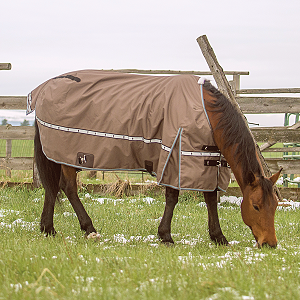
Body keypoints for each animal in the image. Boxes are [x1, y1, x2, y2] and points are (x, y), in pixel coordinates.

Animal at [30, 71, 282, 248]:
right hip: (67, 154)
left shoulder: (207, 161)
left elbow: (210, 198)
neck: (207, 113)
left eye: (276, 205)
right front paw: (166, 236)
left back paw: (48, 228)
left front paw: (218, 236)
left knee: (53, 187)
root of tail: (42, 90)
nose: (270, 244)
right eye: (256, 206)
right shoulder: (175, 156)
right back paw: (87, 227)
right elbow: (172, 197)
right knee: (68, 187)